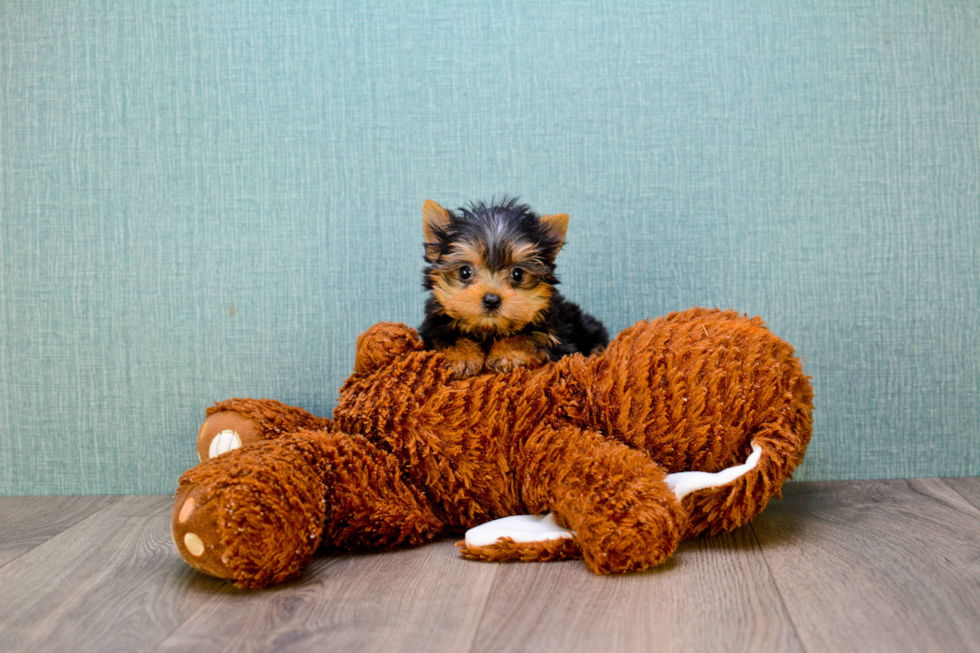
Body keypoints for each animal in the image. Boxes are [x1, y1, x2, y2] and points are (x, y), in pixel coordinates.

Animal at [420, 197, 608, 376]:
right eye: (464, 272)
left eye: (518, 274)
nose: (491, 300)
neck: (489, 330)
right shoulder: (433, 328)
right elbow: (447, 338)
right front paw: (463, 356)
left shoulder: (557, 335)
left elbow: (530, 336)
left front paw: (507, 353)